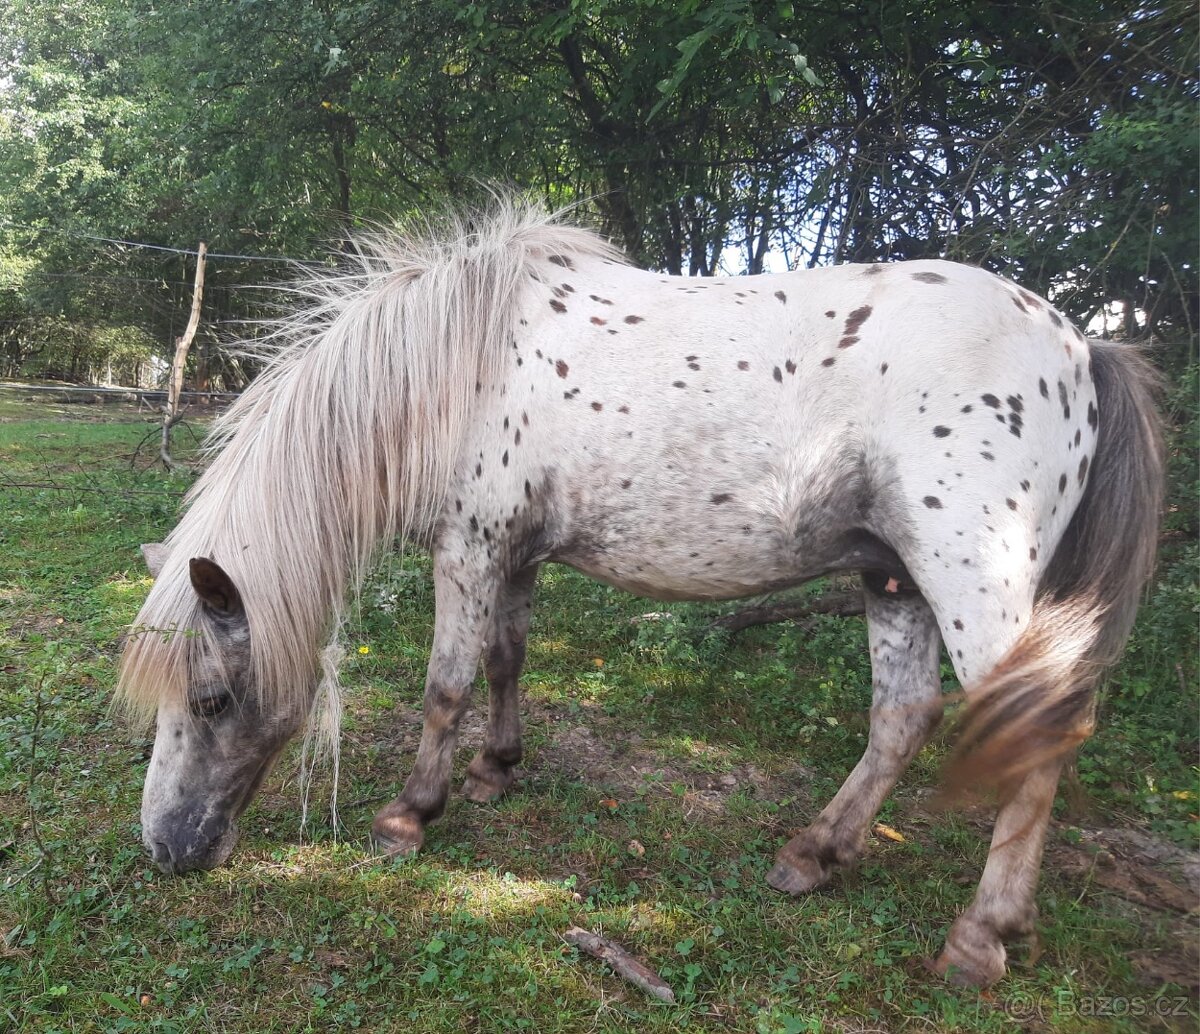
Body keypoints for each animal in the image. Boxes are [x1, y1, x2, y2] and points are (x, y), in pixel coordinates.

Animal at [121, 200, 1161, 988]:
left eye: (211, 700)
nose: (166, 851)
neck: (453, 365)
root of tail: (1083, 345)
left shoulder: (471, 549)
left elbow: (445, 684)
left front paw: (410, 816)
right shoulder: (517, 555)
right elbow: (506, 659)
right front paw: (497, 769)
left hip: (969, 576)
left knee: (1038, 734)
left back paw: (980, 936)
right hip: (892, 574)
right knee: (903, 716)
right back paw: (814, 857)